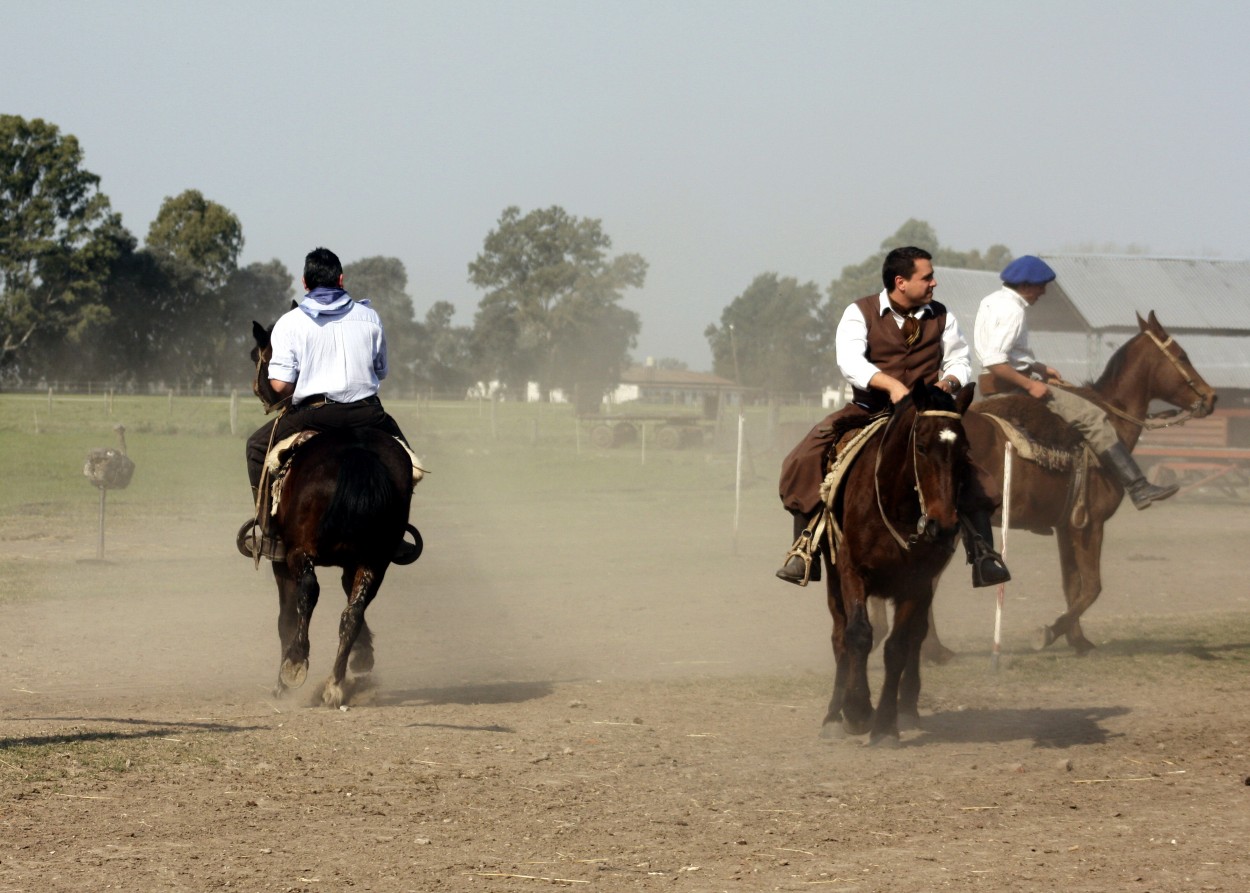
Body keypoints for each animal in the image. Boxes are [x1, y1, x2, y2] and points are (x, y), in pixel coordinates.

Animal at [248, 320, 420, 700]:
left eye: (259, 354)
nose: (262, 391)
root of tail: (355, 451)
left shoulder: (282, 558)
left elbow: (287, 616)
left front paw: (282, 680)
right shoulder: (354, 560)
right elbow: (350, 602)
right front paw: (363, 657)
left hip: (300, 553)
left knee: (309, 593)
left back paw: (297, 664)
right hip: (375, 558)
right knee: (353, 612)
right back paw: (336, 684)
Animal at [820, 380, 975, 740]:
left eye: (964, 450)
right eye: (921, 446)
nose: (943, 525)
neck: (895, 507)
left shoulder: (916, 583)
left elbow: (898, 647)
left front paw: (886, 724)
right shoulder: (851, 571)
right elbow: (858, 635)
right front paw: (857, 709)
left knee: (915, 638)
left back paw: (906, 710)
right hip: (833, 580)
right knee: (839, 636)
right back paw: (834, 716)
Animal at [935, 312, 1215, 655]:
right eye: (1182, 355)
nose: (1211, 397)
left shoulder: (1066, 526)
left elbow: (1072, 585)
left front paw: (1078, 640)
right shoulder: (1090, 524)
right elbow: (1092, 586)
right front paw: (1048, 632)